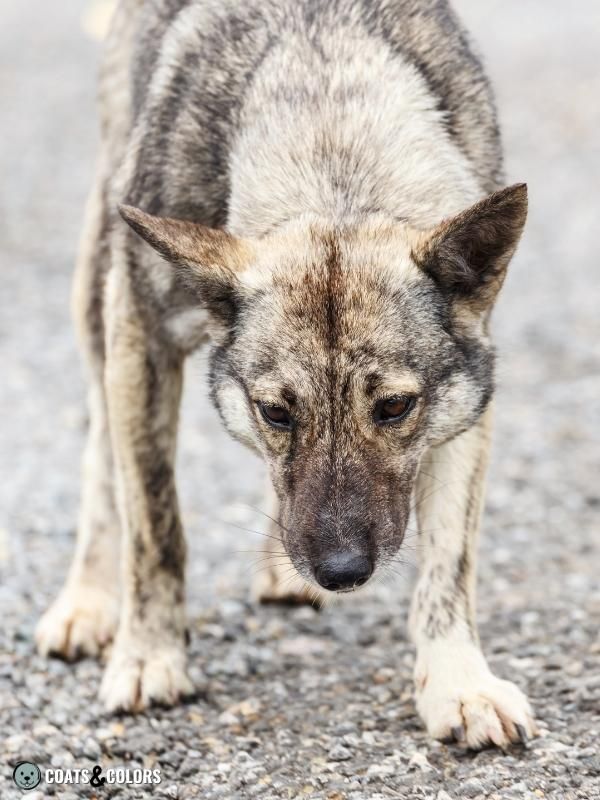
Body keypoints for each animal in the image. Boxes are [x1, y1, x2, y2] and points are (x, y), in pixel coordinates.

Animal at [35, 0, 536, 752]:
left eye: (394, 408)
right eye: (276, 412)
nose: (342, 573)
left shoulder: (465, 399)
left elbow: (449, 563)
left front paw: (459, 683)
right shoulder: (140, 334)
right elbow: (154, 522)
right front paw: (150, 656)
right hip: (99, 285)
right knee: (103, 457)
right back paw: (88, 602)